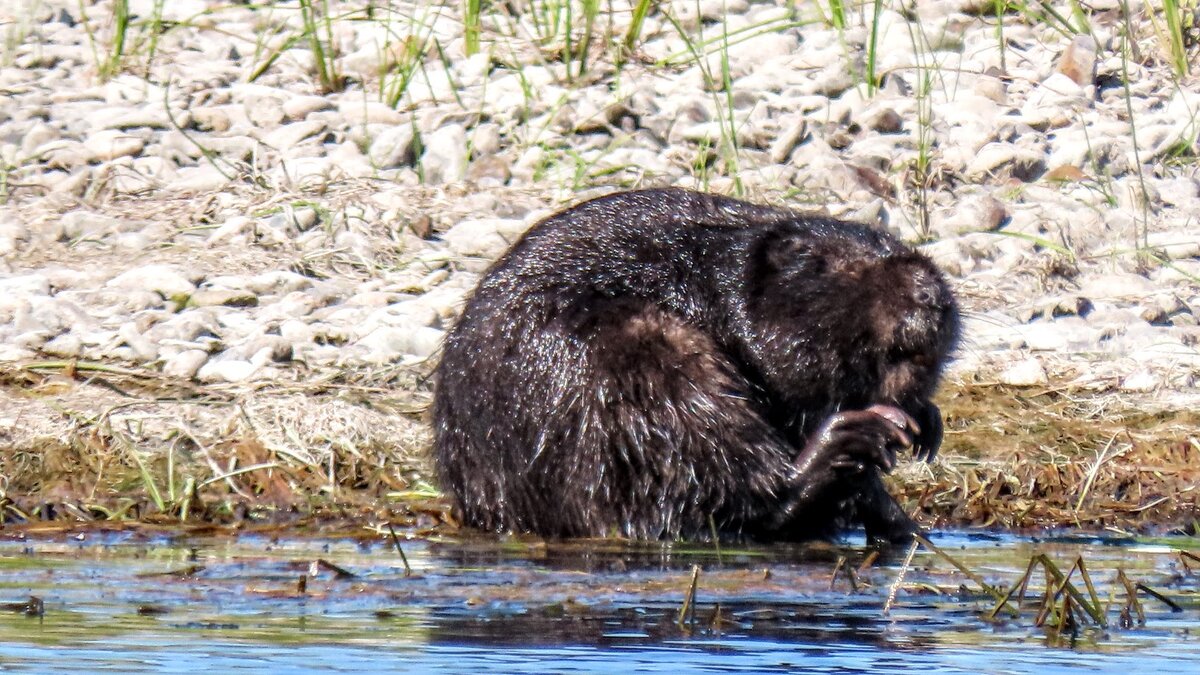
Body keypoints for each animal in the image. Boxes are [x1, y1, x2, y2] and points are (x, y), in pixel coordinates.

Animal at [429, 186, 955, 542]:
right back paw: (844, 443)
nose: (930, 294)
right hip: (638, 350)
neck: (713, 273)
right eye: (843, 264)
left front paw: (924, 425)